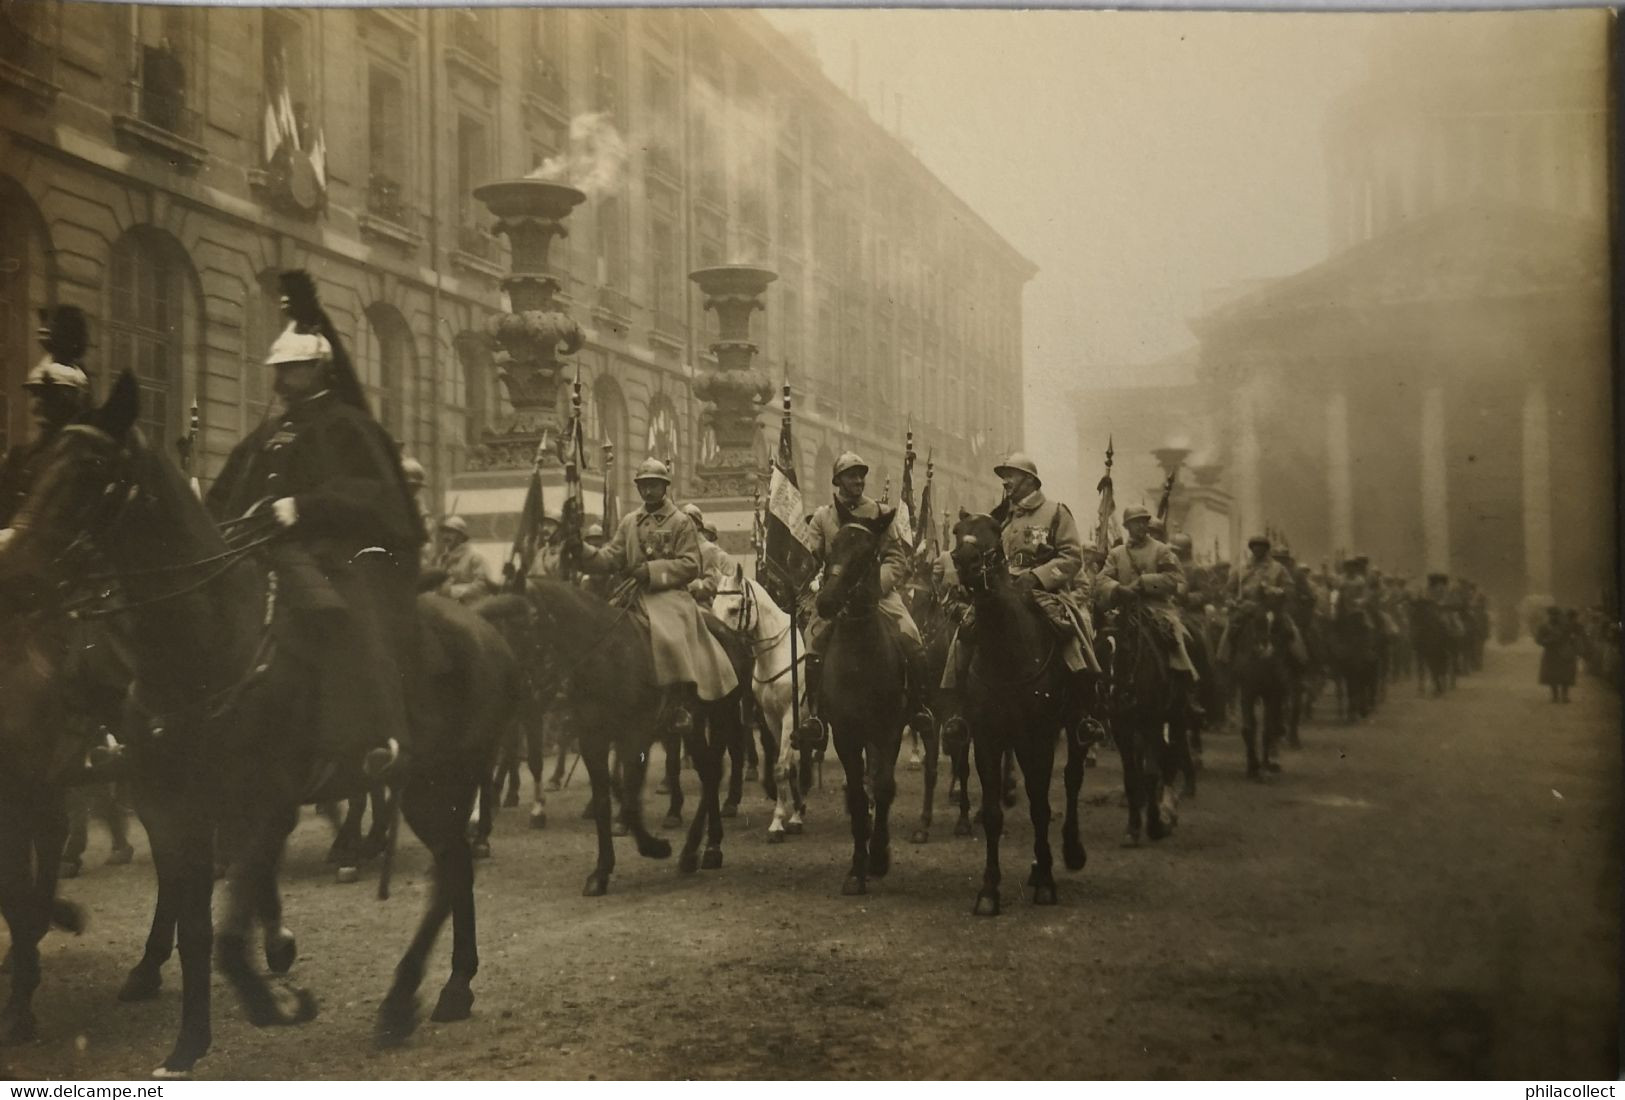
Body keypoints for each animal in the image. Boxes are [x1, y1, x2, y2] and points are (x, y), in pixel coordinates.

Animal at [0, 370, 520, 1072]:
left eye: (91, 473)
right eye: (36, 468)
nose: (12, 574)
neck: (206, 645)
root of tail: (484, 628)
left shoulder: (264, 806)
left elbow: (225, 931)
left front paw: (273, 999)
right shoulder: (170, 807)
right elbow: (196, 928)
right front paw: (188, 1043)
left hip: (439, 783)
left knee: (450, 871)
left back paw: (405, 999)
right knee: (453, 867)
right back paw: (452, 985)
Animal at [711, 565, 812, 838]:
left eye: (734, 608)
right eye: (713, 605)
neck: (777, 654)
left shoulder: (790, 716)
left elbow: (782, 767)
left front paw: (783, 820)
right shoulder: (770, 717)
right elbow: (787, 766)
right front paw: (791, 814)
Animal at [949, 513, 1085, 916]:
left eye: (994, 534)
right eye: (956, 533)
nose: (964, 560)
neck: (1005, 649)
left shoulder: (1038, 737)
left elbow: (1040, 806)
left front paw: (1048, 883)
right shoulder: (987, 738)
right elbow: (994, 813)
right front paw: (988, 891)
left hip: (1074, 727)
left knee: (1071, 779)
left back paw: (1070, 851)